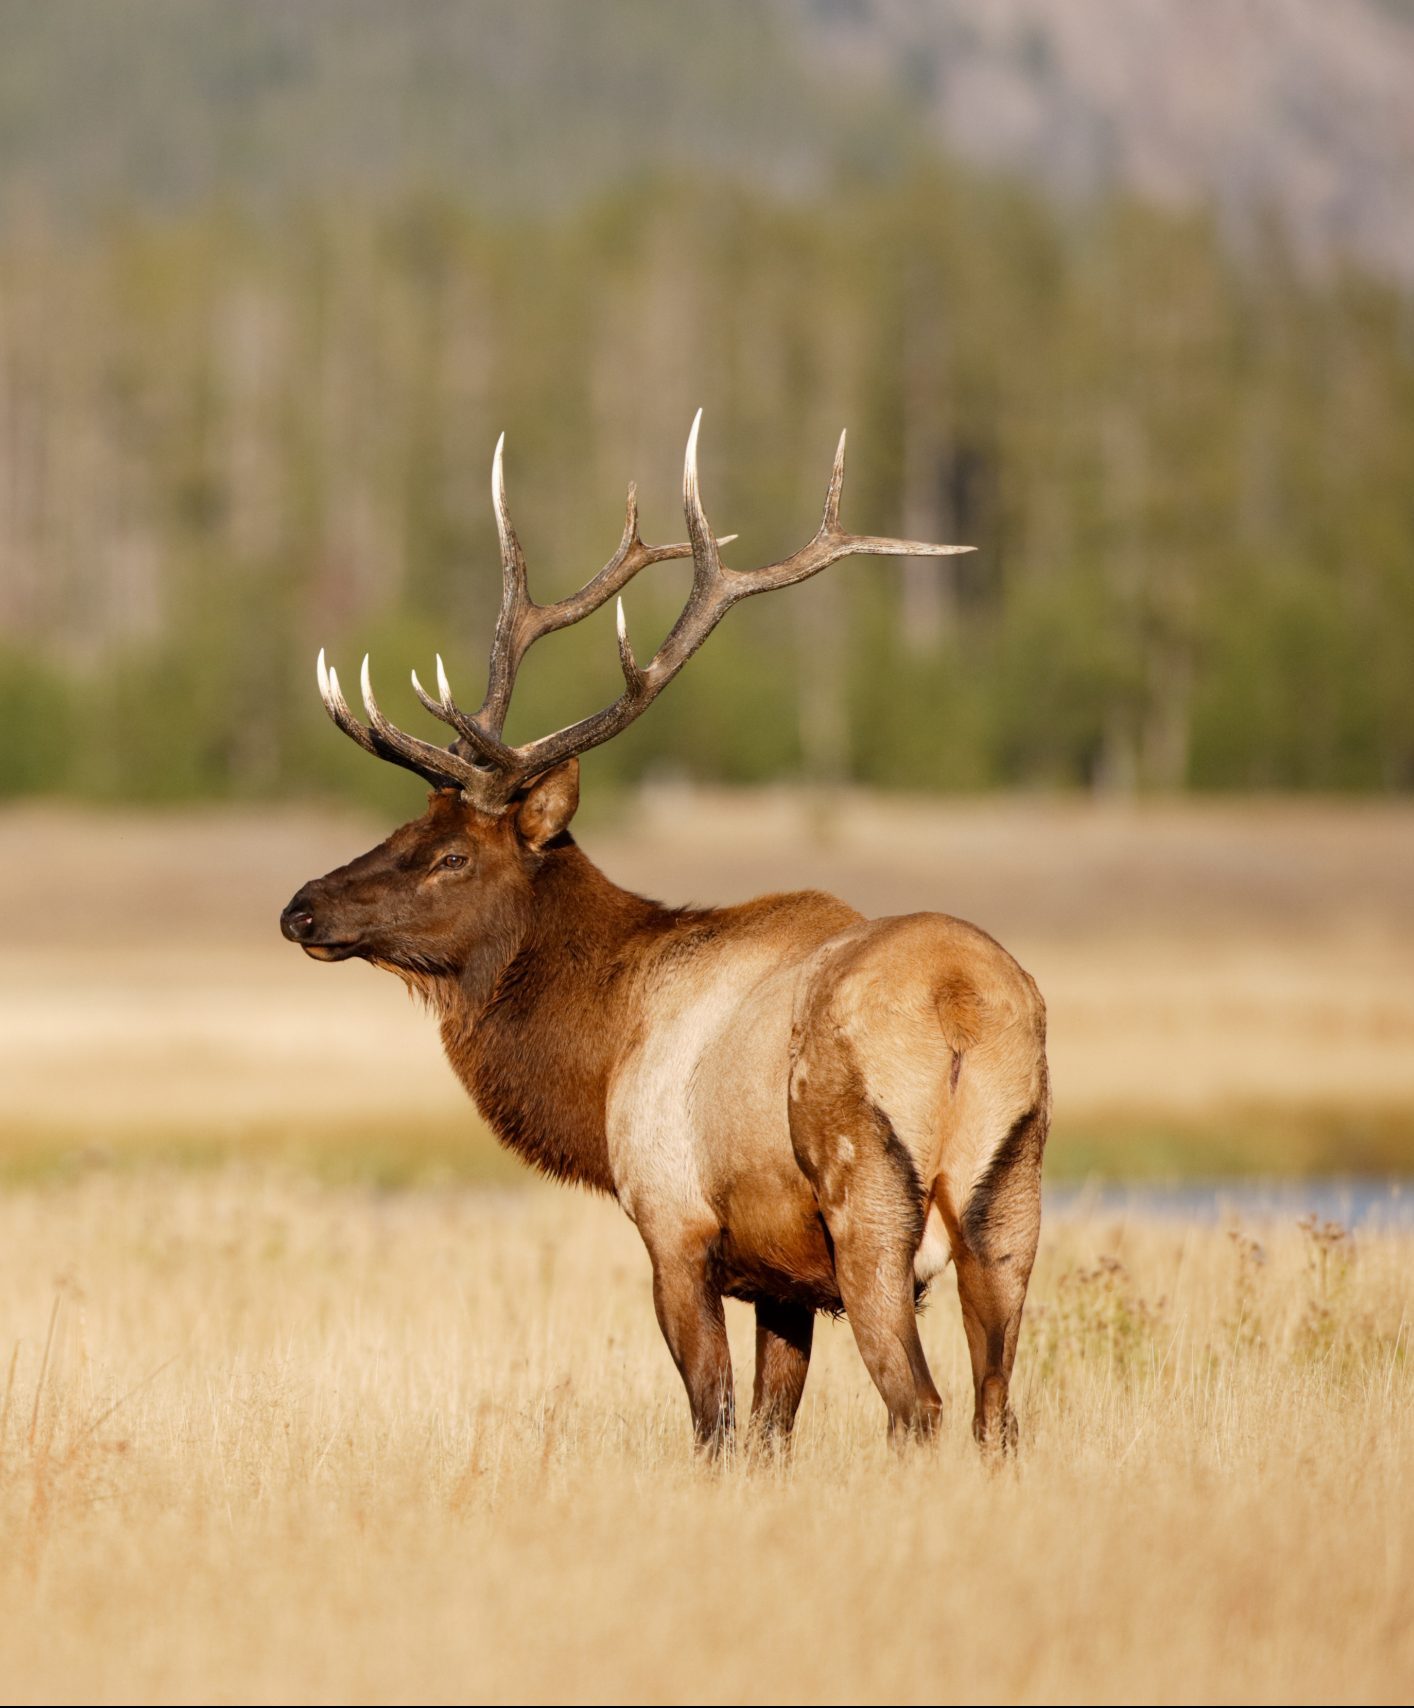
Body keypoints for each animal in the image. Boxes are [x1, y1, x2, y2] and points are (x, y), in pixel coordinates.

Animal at [278, 413, 1051, 1455]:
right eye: (402, 828)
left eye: (449, 855)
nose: (302, 907)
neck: (603, 1048)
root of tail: (961, 1007)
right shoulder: (782, 1278)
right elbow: (770, 1430)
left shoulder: (674, 1224)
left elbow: (714, 1420)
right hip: (1011, 1202)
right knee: (996, 1413)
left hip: (868, 1199)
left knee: (919, 1407)